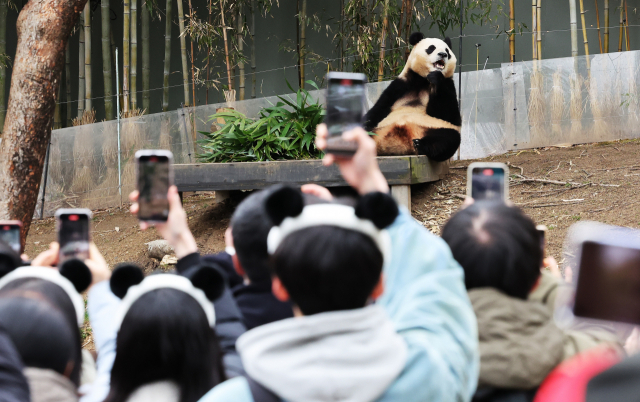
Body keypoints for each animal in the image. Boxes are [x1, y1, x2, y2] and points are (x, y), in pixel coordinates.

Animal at [362, 32, 462, 162]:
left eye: (447, 51)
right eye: (431, 48)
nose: (443, 54)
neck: (423, 80)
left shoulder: (448, 85)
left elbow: (450, 115)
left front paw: (436, 77)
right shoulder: (401, 85)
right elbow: (379, 108)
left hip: (435, 129)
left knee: (448, 139)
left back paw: (421, 145)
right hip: (377, 130)